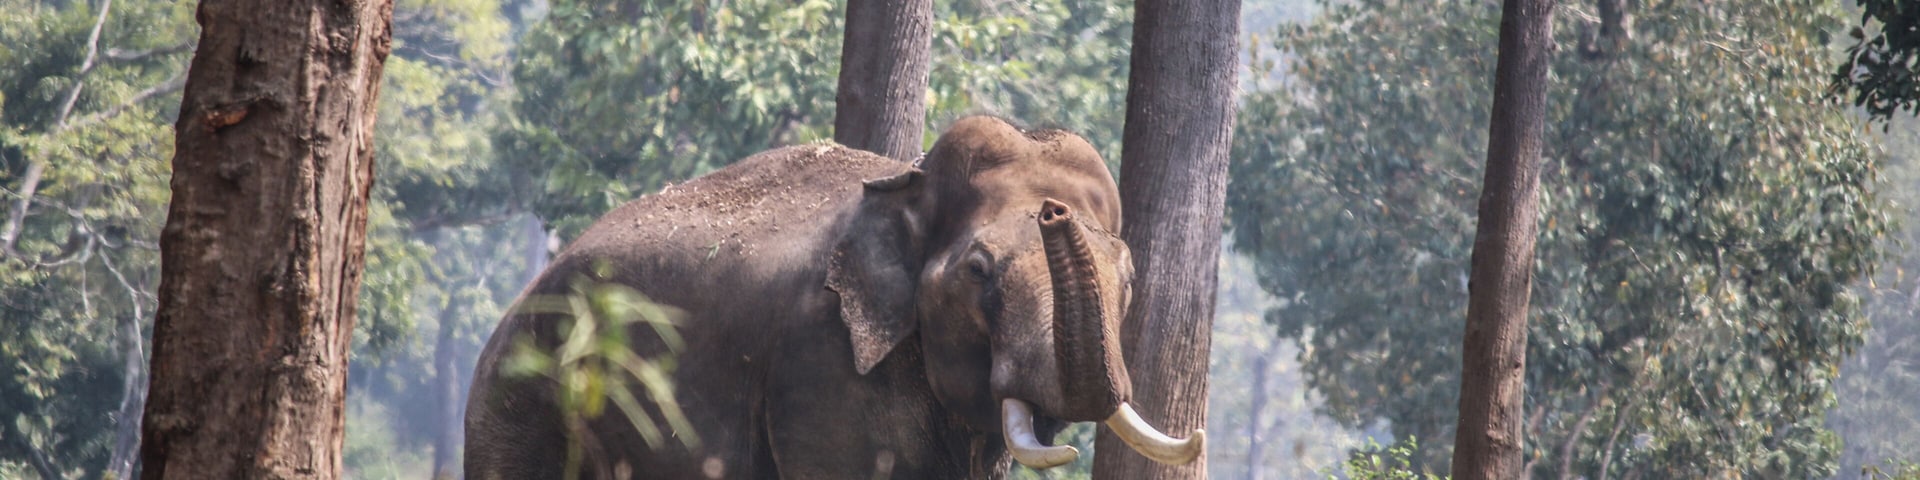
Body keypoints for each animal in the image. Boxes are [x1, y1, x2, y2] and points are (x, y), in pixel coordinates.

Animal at [464, 116, 1201, 479]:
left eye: (1129, 279)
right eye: (977, 271)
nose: (1053, 212)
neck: (906, 178)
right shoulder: (821, 365)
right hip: (520, 400)